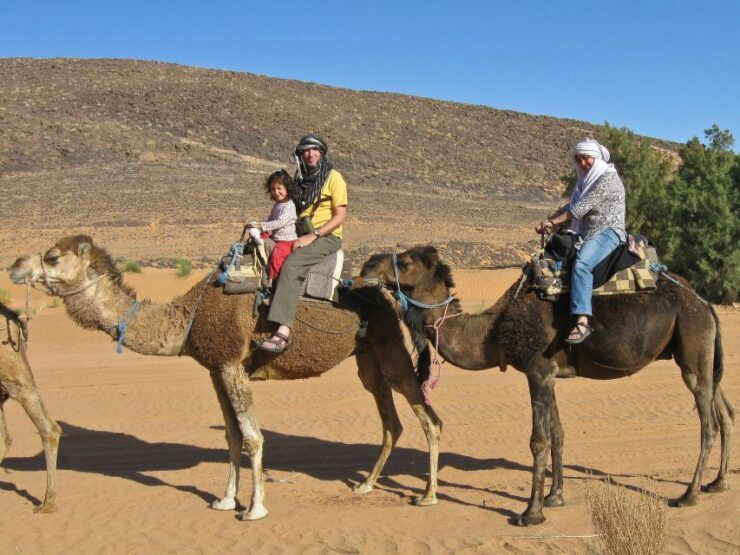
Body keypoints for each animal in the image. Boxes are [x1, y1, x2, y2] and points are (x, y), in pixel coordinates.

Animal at [9, 235, 442, 521]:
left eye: (52, 257)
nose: (14, 265)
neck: (189, 317)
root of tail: (388, 295)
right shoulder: (216, 369)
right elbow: (232, 436)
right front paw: (224, 500)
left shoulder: (233, 364)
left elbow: (253, 436)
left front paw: (255, 508)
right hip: (368, 358)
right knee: (391, 420)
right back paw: (366, 484)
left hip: (389, 346)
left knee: (428, 418)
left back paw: (428, 496)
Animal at [357, 245, 734, 526]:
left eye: (405, 262)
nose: (367, 265)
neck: (495, 329)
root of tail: (705, 303)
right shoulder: (550, 374)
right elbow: (558, 432)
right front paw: (555, 497)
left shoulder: (537, 369)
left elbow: (538, 439)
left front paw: (530, 513)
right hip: (700, 354)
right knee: (725, 410)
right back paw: (718, 483)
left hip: (692, 344)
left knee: (708, 423)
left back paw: (688, 495)